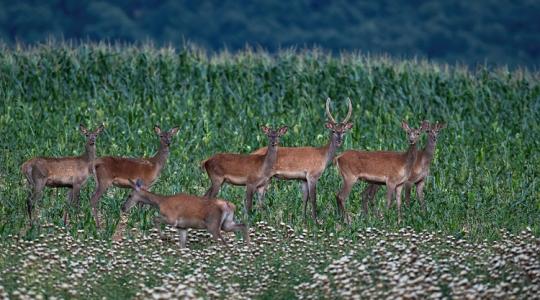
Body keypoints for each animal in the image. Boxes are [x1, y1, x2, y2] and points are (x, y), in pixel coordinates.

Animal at [121, 179, 250, 247]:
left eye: (129, 195)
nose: (123, 207)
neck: (161, 202)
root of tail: (229, 205)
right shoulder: (182, 226)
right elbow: (182, 244)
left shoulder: (172, 218)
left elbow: (154, 218)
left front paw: (165, 238)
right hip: (226, 223)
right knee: (243, 225)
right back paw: (247, 245)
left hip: (213, 224)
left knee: (223, 242)